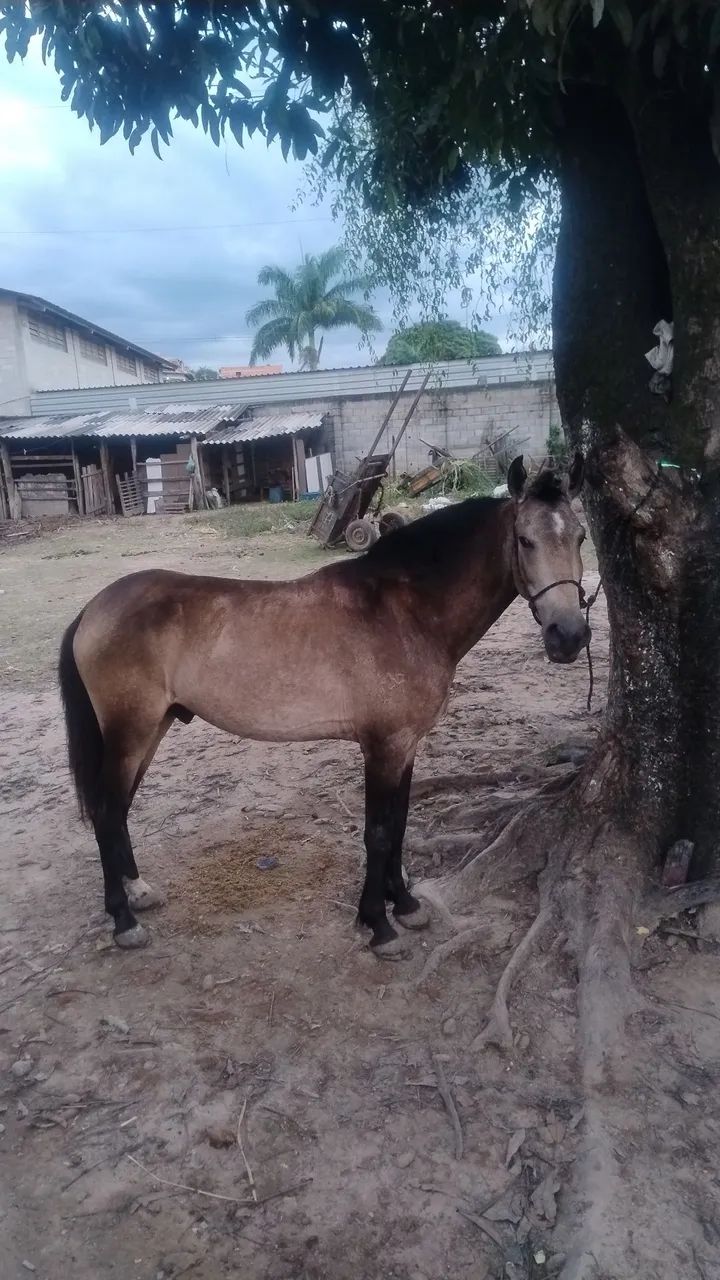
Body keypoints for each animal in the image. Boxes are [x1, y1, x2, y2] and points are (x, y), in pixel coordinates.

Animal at [58, 453, 589, 958]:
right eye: (524, 540)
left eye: (581, 536)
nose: (569, 636)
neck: (405, 611)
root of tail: (92, 609)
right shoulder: (382, 747)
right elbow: (378, 831)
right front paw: (379, 926)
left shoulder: (406, 746)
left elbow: (399, 824)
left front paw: (406, 905)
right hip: (131, 730)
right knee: (106, 810)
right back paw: (124, 921)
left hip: (153, 728)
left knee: (119, 808)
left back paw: (138, 891)